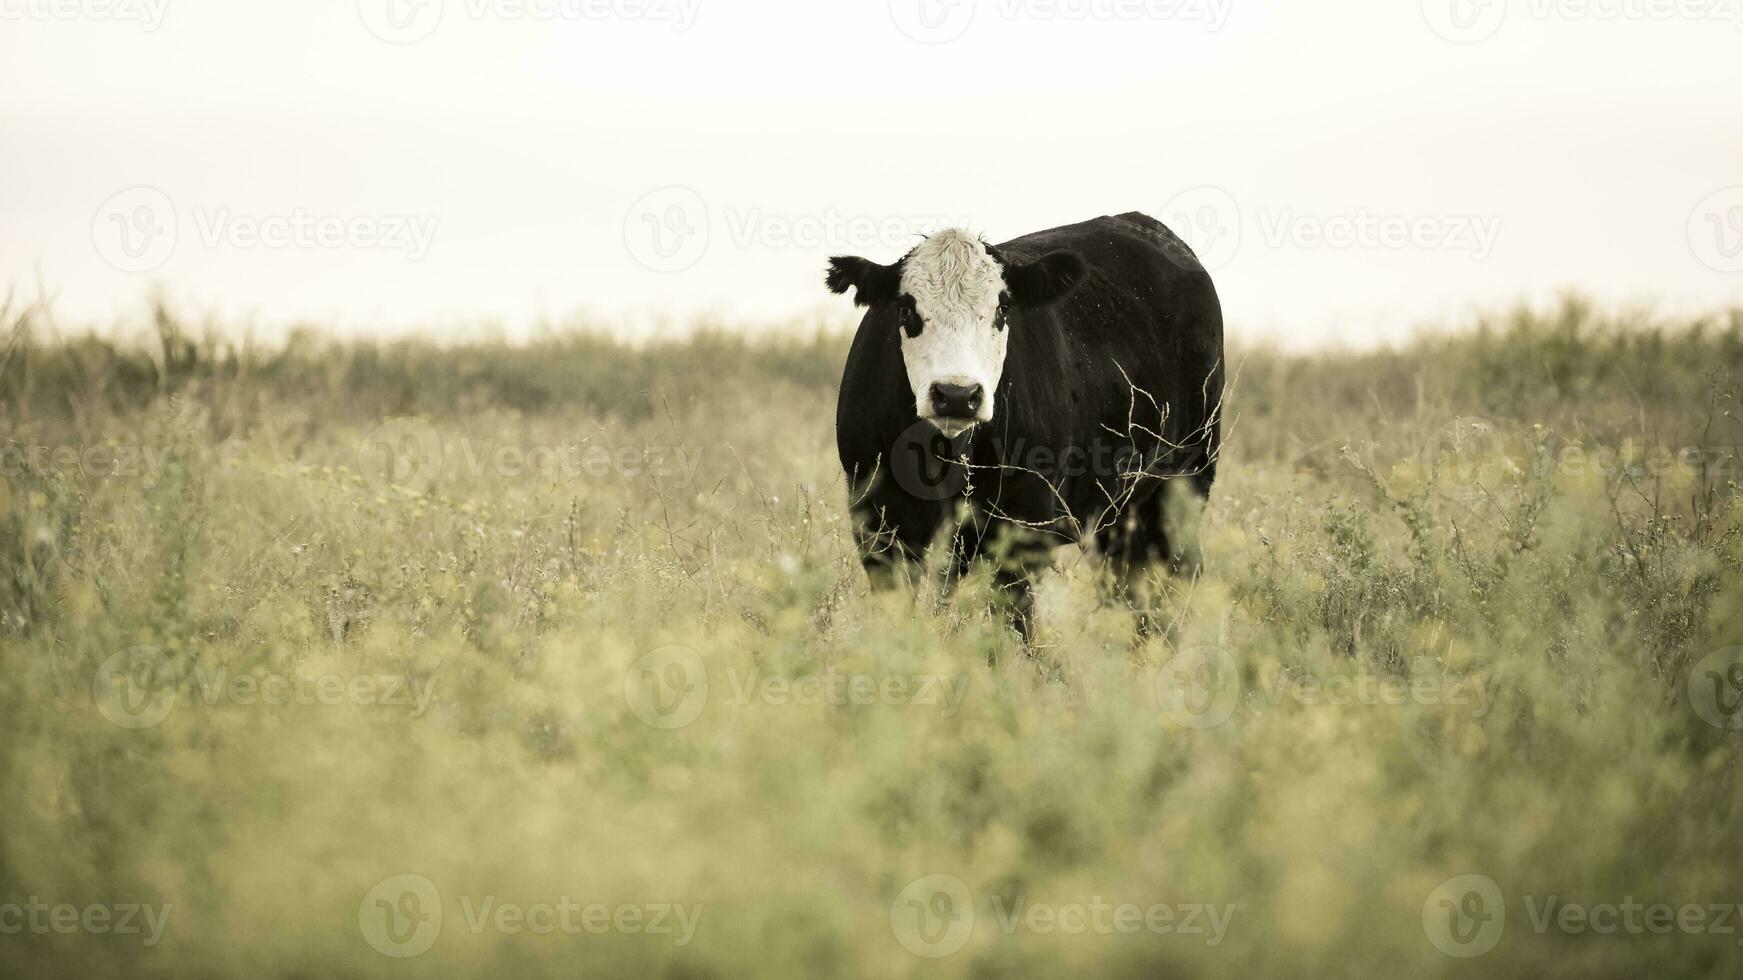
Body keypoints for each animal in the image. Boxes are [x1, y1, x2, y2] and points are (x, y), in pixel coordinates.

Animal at [822, 210, 1220, 638]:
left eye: (1002, 309)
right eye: (907, 310)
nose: (957, 394)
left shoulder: (1023, 526)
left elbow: (1015, 624)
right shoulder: (879, 523)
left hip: (1185, 483)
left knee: (1174, 577)